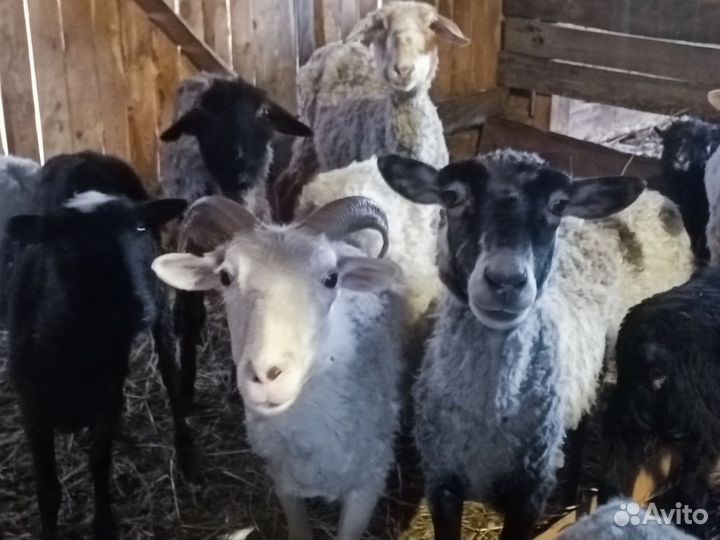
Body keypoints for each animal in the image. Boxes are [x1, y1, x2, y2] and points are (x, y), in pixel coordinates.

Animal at [6, 152, 192, 540]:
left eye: (139, 229)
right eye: (69, 241)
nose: (137, 306)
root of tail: (86, 155)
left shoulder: (109, 393)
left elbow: (98, 460)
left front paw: (104, 524)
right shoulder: (31, 408)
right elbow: (48, 488)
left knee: (169, 370)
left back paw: (186, 451)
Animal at [158, 73, 313, 411]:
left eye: (264, 113)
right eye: (204, 118)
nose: (240, 167)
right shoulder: (190, 245)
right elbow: (190, 316)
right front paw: (185, 392)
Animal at [275, 0, 469, 221]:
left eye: (432, 25)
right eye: (381, 25)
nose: (403, 70)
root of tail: (335, 45)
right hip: (307, 133)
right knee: (286, 181)